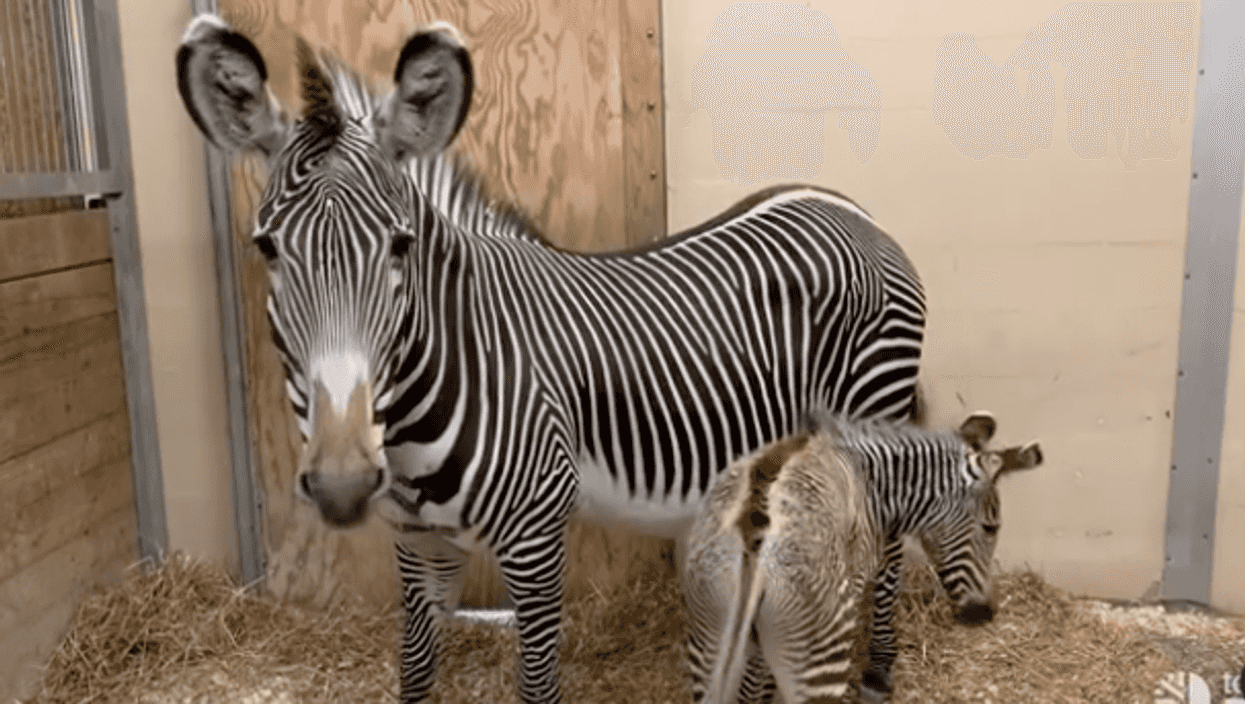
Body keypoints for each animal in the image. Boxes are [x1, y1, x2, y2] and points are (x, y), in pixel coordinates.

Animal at [175, 16, 925, 704]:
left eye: (400, 245)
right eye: (267, 247)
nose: (340, 481)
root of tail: (846, 207)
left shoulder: (536, 537)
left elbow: (537, 684)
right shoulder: (418, 543)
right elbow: (414, 671)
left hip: (873, 407)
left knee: (887, 546)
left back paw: (877, 672)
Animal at [682, 413, 1044, 703]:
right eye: (991, 527)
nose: (984, 614)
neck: (874, 480)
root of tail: (754, 533)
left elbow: (755, 687)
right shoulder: (852, 587)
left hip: (707, 636)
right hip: (820, 650)